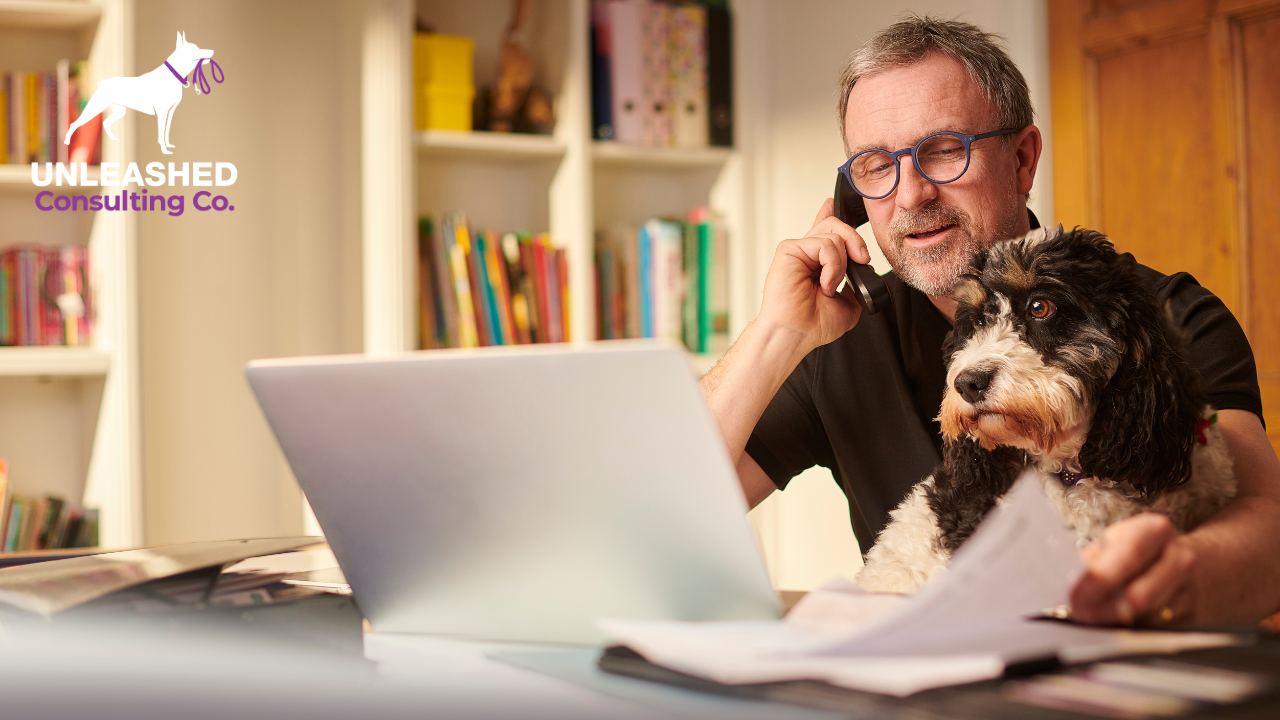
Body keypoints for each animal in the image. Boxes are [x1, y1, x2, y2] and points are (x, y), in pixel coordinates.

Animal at [66, 31, 215, 154]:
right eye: (195, 49)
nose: (212, 51)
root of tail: (102, 84)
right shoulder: (162, 112)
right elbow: (161, 133)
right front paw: (164, 150)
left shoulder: (171, 112)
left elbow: (166, 132)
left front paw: (168, 146)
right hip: (95, 108)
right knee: (75, 124)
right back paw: (67, 141)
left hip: (119, 111)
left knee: (106, 123)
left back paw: (114, 139)